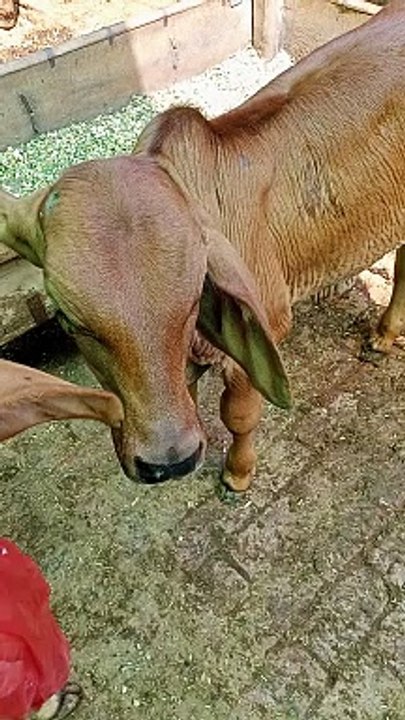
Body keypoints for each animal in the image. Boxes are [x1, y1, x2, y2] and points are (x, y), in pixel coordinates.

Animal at [0, 1, 404, 491]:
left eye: (195, 297)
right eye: (66, 320)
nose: (168, 462)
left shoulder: (260, 335)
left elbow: (240, 416)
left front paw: (237, 473)